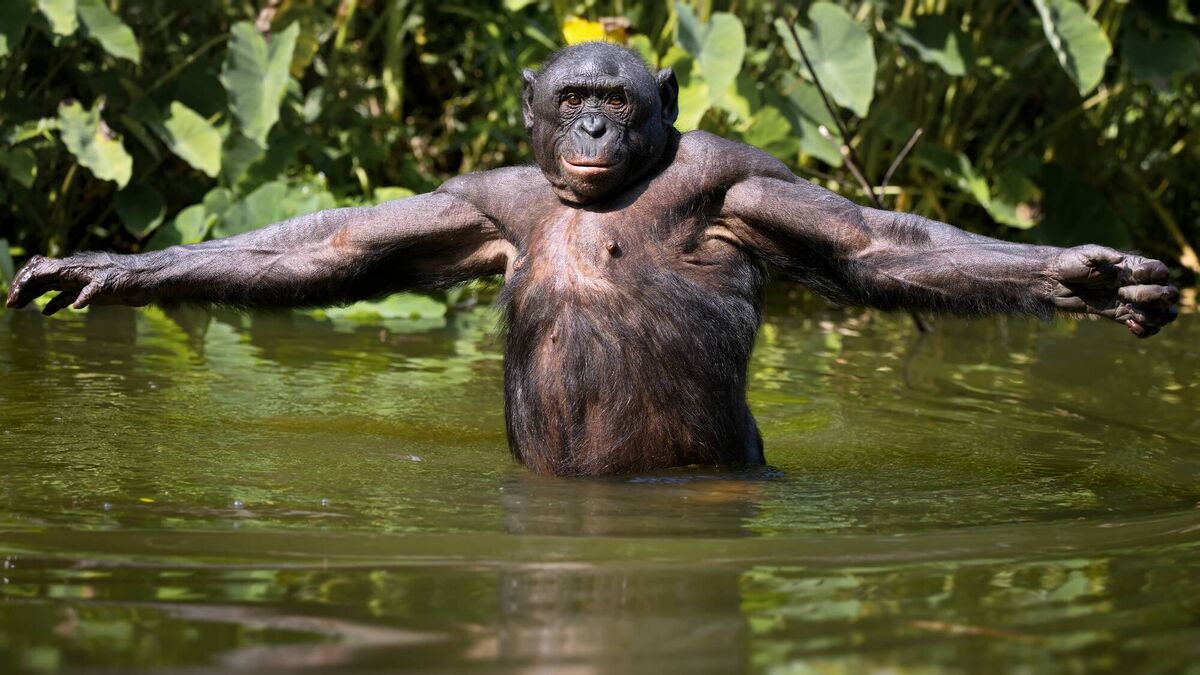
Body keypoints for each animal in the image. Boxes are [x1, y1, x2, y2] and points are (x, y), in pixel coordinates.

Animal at [5, 42, 1179, 476]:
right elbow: (327, 251)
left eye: (616, 97)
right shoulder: (480, 200)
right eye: (573, 94)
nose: (593, 129)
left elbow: (879, 247)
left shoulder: (745, 177)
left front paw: (1088, 277)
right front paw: (100, 268)